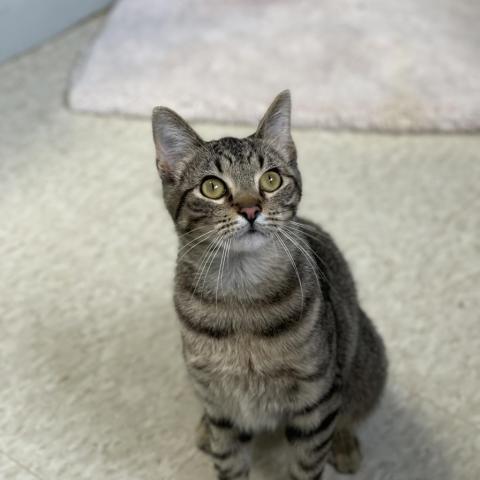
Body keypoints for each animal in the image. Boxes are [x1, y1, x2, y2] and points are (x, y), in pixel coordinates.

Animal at [152, 91, 388, 480]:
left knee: (351, 410)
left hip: (365, 361)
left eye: (272, 180)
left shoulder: (316, 401)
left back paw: (345, 443)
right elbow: (229, 462)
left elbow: (308, 464)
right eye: (212, 187)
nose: (251, 209)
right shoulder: (223, 405)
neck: (241, 298)